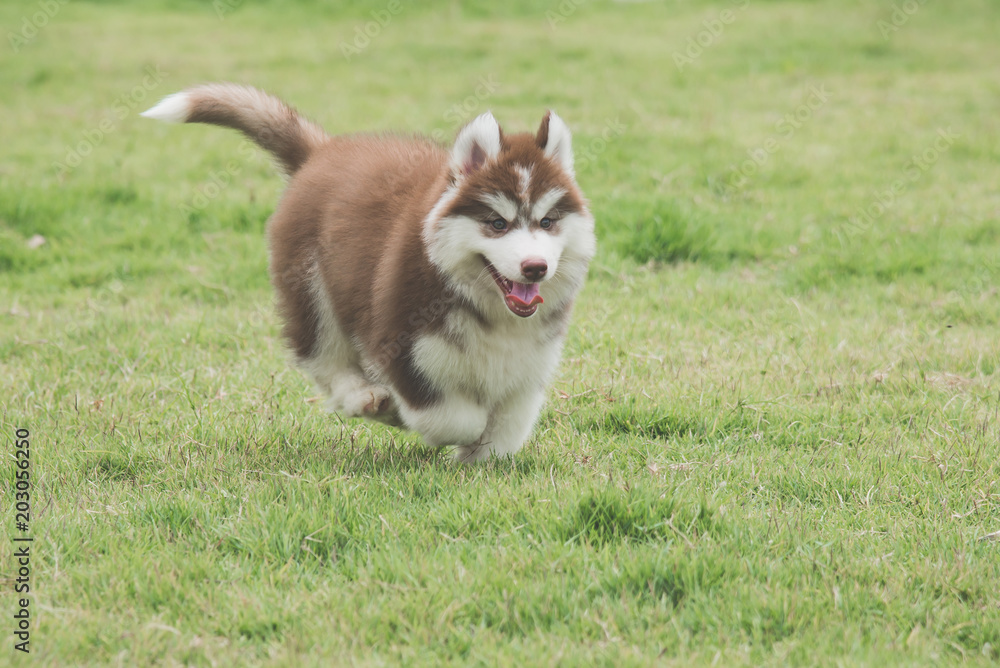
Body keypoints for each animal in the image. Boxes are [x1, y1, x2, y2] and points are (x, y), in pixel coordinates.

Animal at [142, 82, 592, 460]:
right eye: (497, 223)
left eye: (547, 222)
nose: (535, 268)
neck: (483, 306)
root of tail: (322, 152)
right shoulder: (403, 347)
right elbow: (455, 418)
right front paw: (417, 419)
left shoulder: (529, 364)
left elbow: (505, 429)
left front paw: (482, 455)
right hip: (311, 288)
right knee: (321, 357)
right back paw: (365, 397)